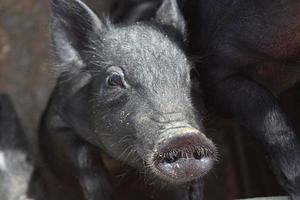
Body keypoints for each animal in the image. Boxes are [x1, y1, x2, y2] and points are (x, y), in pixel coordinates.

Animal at [37, 0, 216, 199]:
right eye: (114, 80)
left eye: (193, 74)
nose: (185, 137)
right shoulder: (56, 120)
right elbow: (82, 154)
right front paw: (103, 194)